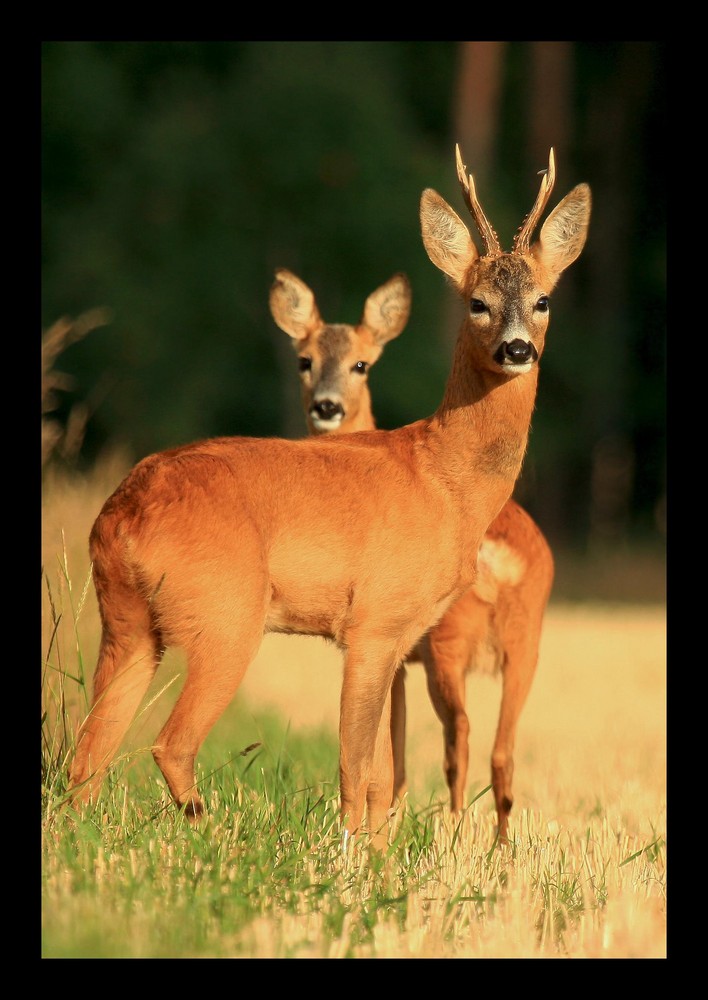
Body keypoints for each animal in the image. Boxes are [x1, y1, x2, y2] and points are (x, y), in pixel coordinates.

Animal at [274, 268, 556, 844]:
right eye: (304, 360)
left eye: (361, 363)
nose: (326, 407)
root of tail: (506, 563)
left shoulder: (397, 645)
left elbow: (394, 746)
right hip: (528, 638)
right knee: (504, 748)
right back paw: (499, 849)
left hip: (450, 641)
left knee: (462, 732)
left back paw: (453, 834)